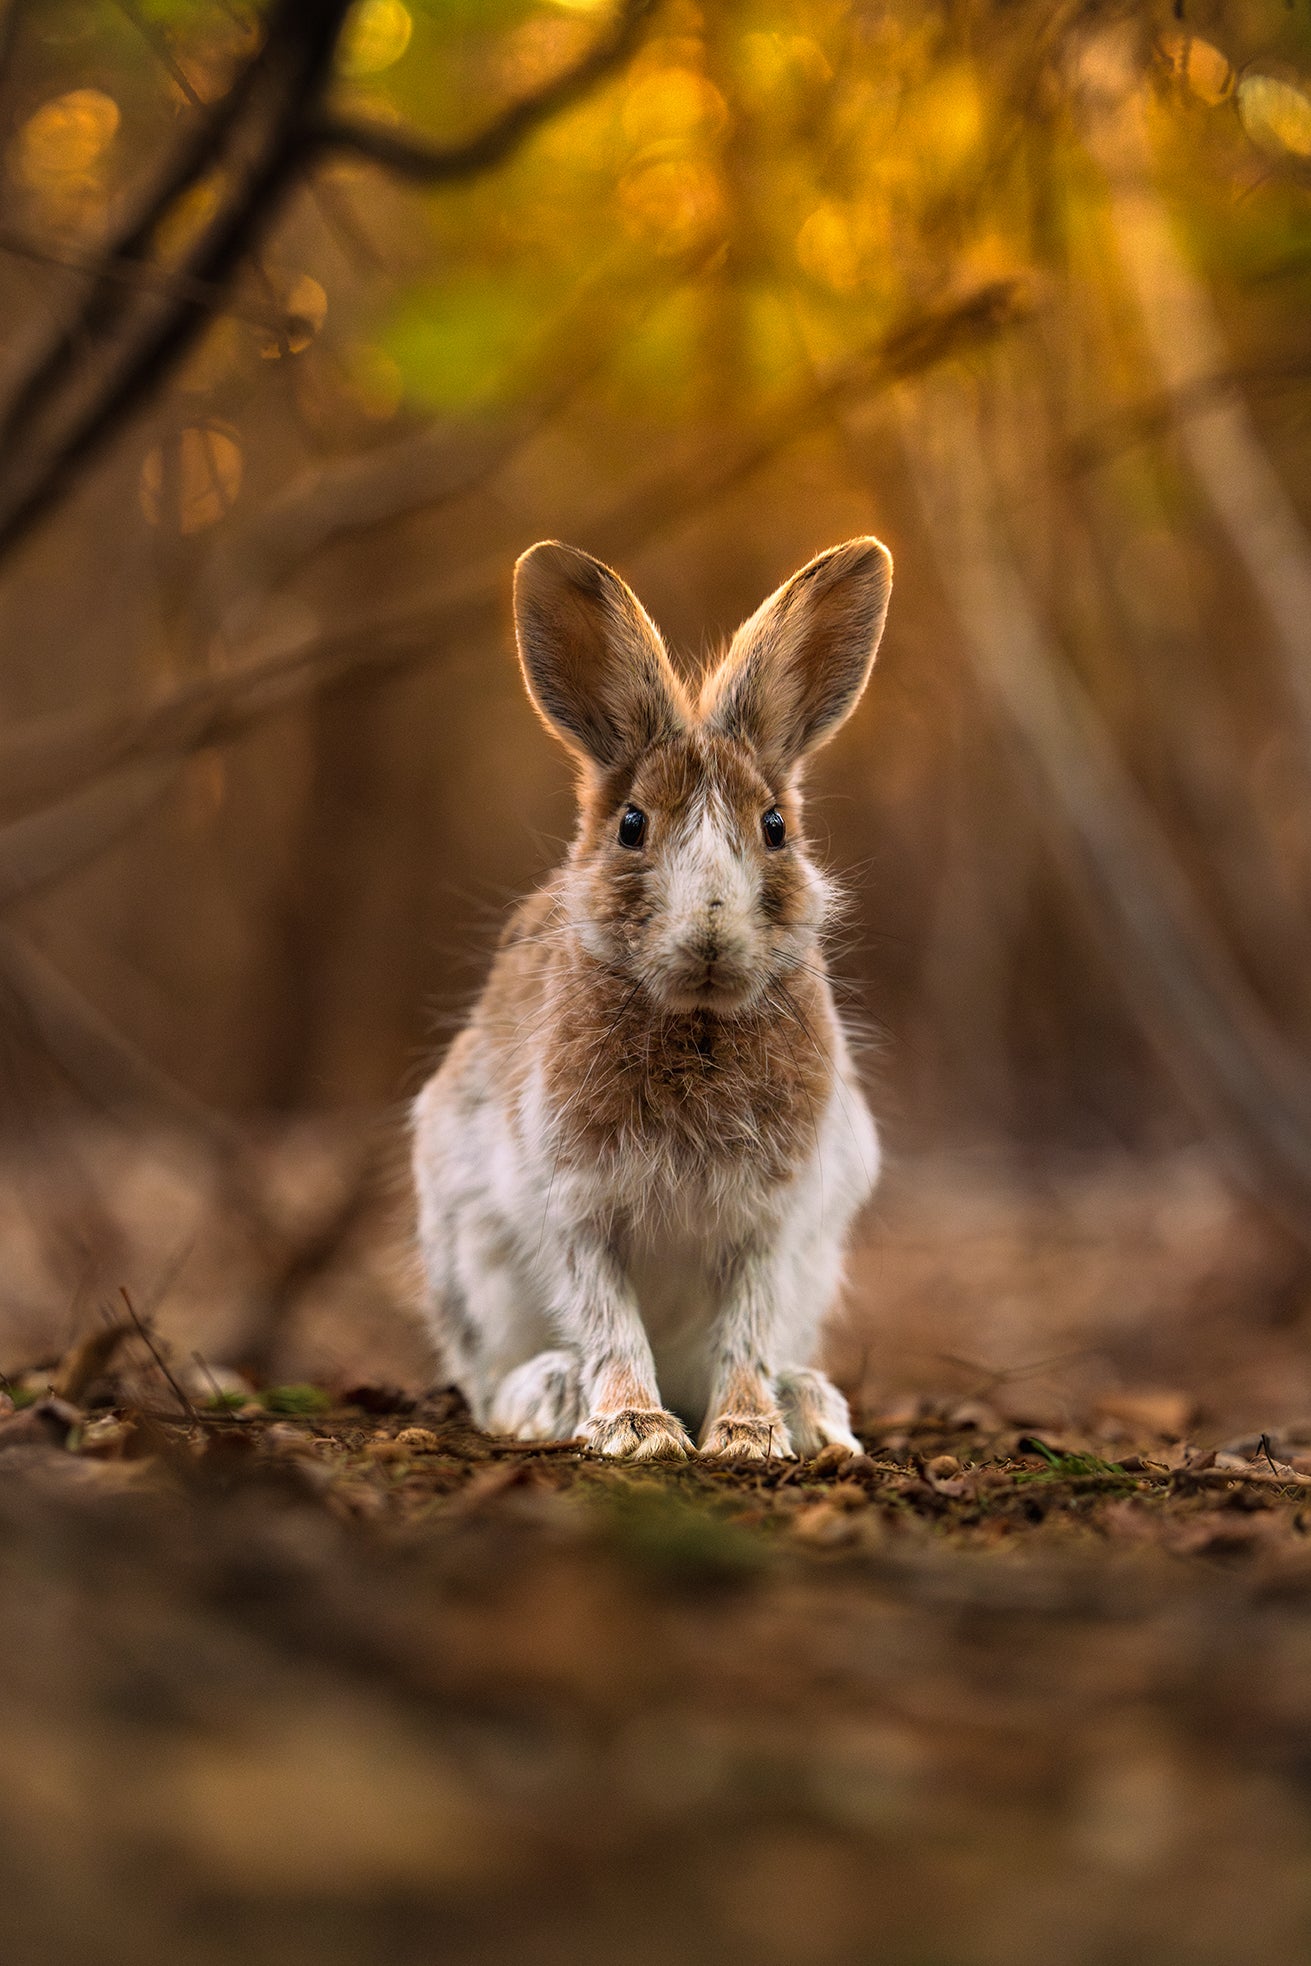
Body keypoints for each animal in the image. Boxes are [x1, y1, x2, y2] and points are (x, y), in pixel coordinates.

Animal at [411, 534, 891, 1461]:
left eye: (775, 828)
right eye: (631, 826)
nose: (710, 936)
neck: (697, 1021)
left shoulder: (773, 1223)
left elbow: (745, 1328)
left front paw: (745, 1434)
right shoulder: (574, 1206)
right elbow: (609, 1320)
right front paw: (635, 1429)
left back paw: (809, 1408)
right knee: (490, 1385)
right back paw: (551, 1395)